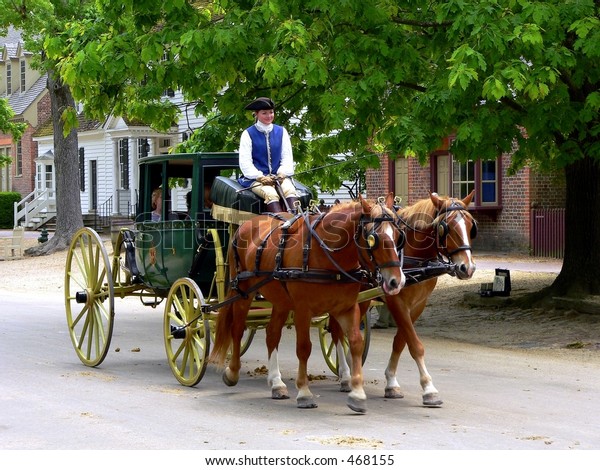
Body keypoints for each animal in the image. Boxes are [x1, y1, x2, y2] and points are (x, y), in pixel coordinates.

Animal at [209, 194, 406, 412]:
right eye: (372, 239)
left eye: (399, 236)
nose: (396, 281)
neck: (326, 255)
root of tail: (246, 225)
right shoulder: (303, 309)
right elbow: (304, 348)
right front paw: (304, 392)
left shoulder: (346, 307)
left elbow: (355, 342)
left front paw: (357, 393)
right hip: (243, 291)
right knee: (237, 329)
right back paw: (233, 372)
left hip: (281, 301)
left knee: (272, 334)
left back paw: (276, 383)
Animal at [332, 189, 478, 406]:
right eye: (446, 227)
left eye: (470, 226)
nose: (467, 268)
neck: (412, 257)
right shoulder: (395, 301)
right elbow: (415, 345)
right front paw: (429, 388)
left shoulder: (418, 304)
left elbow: (401, 341)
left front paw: (391, 383)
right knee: (336, 332)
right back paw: (345, 375)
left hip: (362, 298)